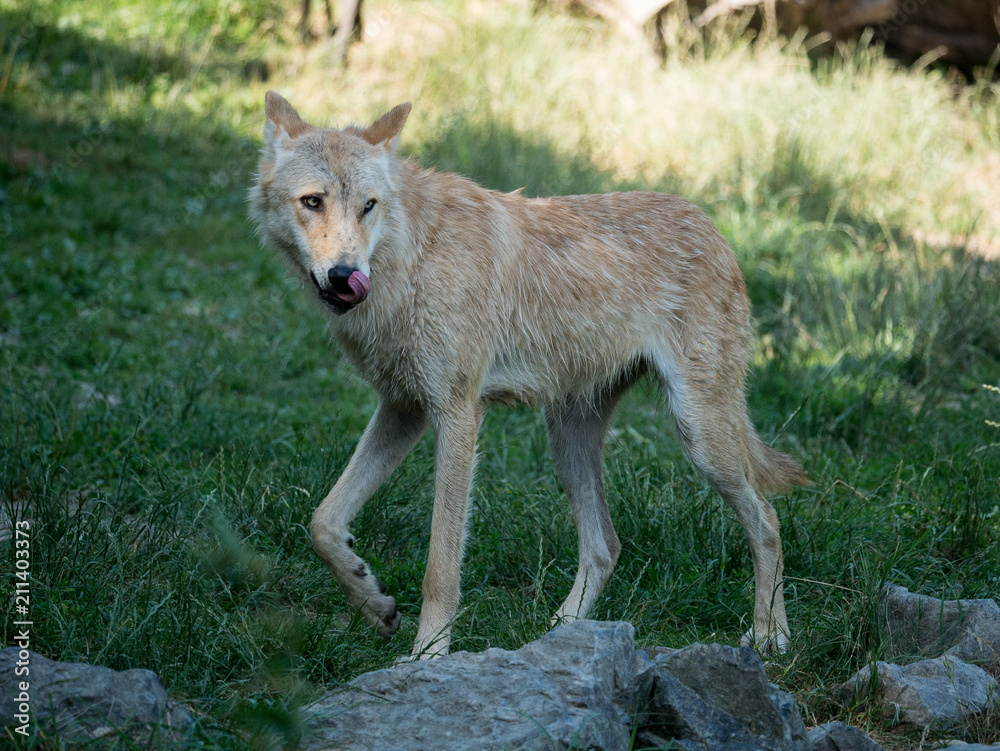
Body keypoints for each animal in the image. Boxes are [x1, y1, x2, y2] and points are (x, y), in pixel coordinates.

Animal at [249, 91, 809, 659]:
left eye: (368, 206)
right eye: (312, 202)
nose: (346, 276)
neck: (410, 256)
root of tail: (713, 226)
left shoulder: (456, 415)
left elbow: (440, 567)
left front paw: (428, 654)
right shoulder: (405, 408)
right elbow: (322, 522)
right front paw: (374, 604)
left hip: (699, 437)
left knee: (767, 520)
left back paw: (771, 635)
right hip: (567, 440)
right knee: (607, 546)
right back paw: (558, 635)